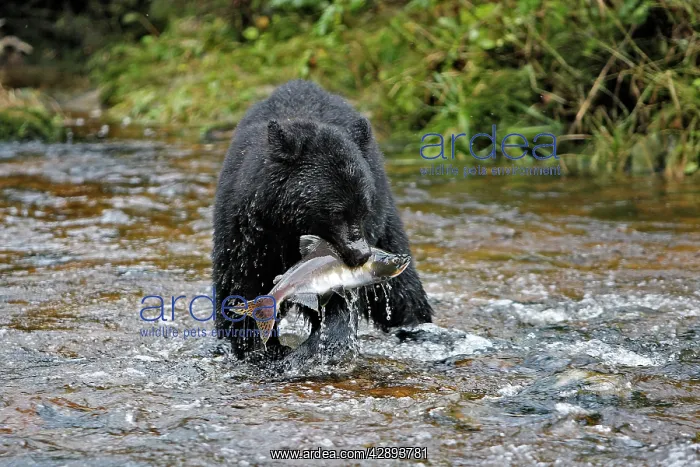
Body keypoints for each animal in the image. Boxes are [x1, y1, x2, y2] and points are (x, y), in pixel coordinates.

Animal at [212, 80, 432, 367]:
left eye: (364, 208)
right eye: (336, 212)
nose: (361, 254)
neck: (288, 226)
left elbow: (337, 305)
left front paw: (315, 349)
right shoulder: (248, 231)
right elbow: (240, 283)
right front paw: (256, 347)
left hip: (387, 223)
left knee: (403, 293)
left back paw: (416, 327)